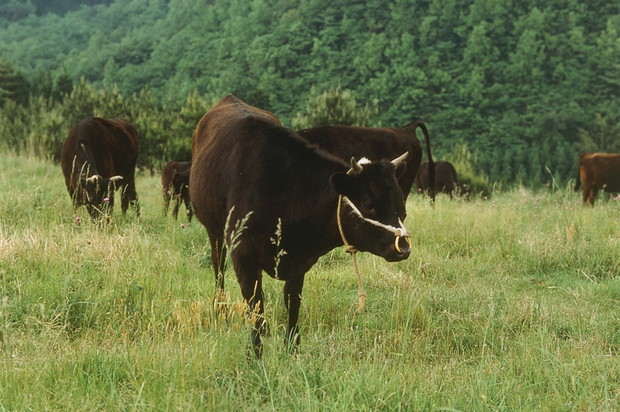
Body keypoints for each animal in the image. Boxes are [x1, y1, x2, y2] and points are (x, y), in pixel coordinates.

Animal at [189, 95, 412, 356]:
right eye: (369, 205)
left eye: (401, 205)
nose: (403, 248)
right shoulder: (243, 256)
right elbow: (255, 303)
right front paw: (255, 353)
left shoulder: (300, 261)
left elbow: (292, 301)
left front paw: (291, 347)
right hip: (215, 233)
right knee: (219, 271)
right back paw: (221, 310)